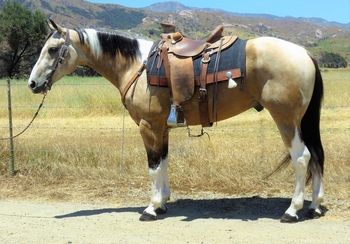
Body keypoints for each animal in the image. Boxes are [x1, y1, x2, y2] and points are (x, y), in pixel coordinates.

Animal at [28, 20, 326, 223]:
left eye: (52, 49)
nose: (32, 84)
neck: (138, 66)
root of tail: (304, 53)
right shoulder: (161, 127)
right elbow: (163, 162)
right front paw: (163, 202)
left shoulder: (148, 126)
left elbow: (152, 166)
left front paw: (151, 208)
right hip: (303, 121)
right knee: (316, 157)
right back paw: (314, 206)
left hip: (286, 119)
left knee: (302, 157)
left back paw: (293, 210)